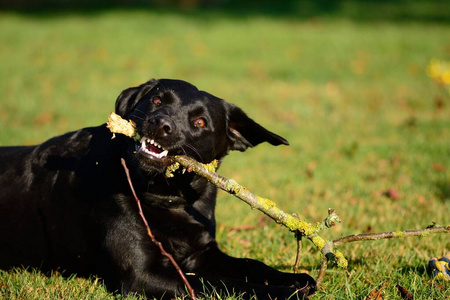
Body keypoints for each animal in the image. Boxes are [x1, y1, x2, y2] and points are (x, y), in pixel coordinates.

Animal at [0, 79, 316, 298]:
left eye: (200, 121)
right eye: (156, 99)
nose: (160, 124)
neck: (168, 198)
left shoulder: (202, 252)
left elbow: (251, 265)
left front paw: (295, 278)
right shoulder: (142, 274)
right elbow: (221, 284)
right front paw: (281, 292)